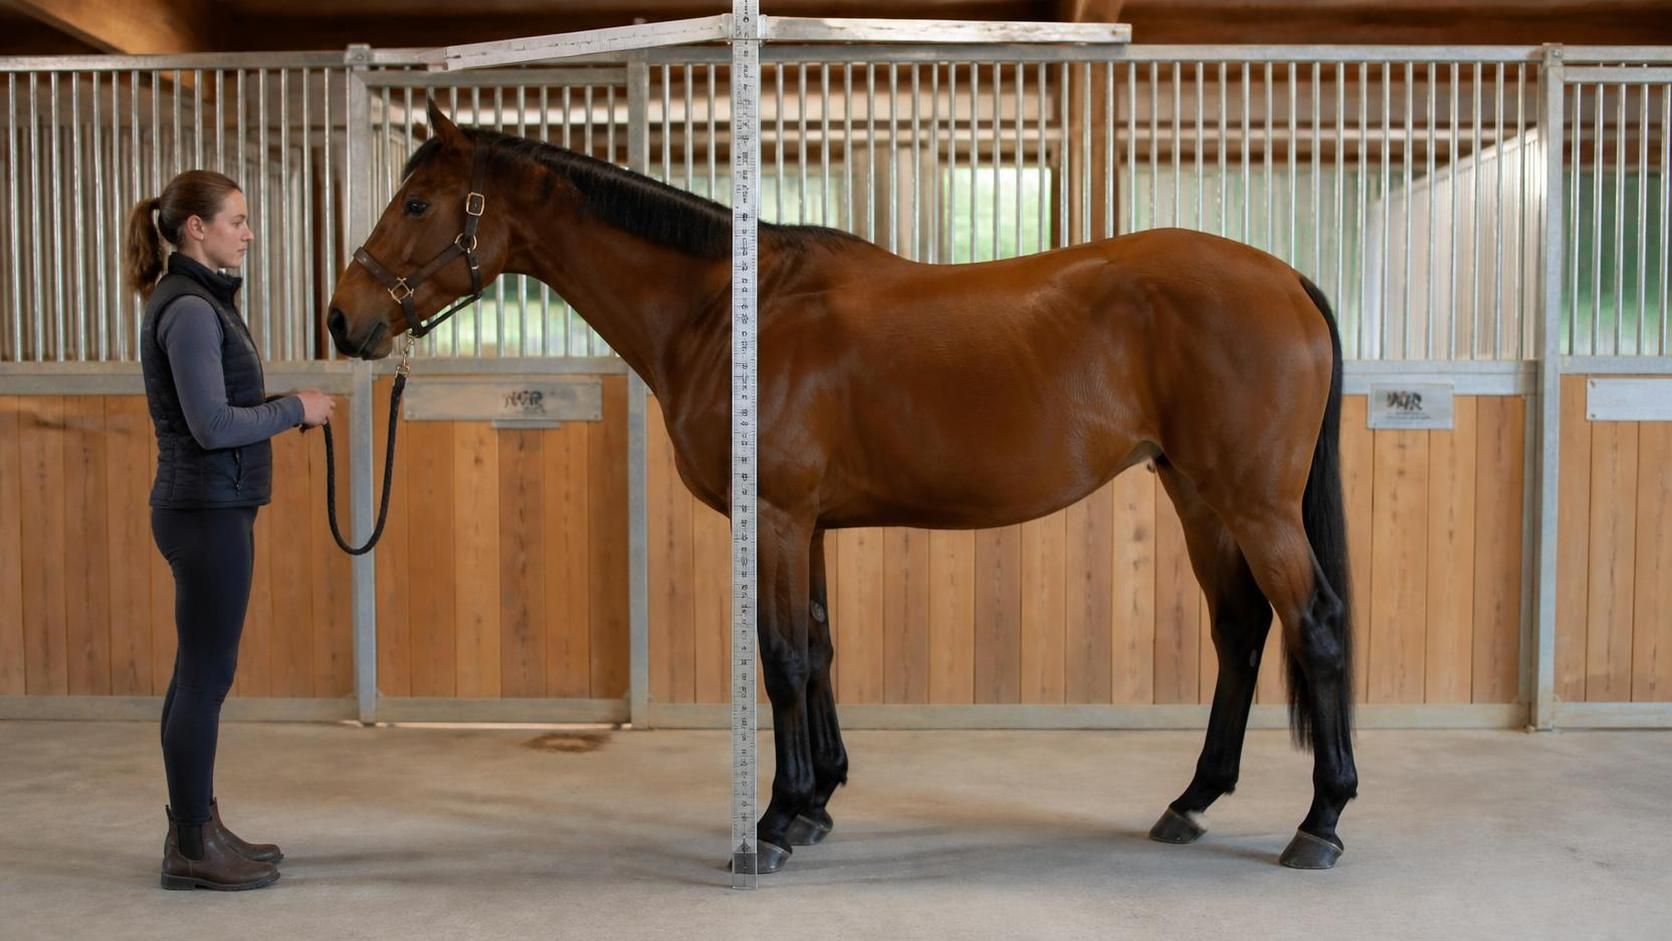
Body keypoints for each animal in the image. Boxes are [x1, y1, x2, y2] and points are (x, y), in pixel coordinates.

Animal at [326, 100, 1358, 874]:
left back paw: (1321, 819)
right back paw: (1192, 799)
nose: (344, 317)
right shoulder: (809, 523)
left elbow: (781, 657)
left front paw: (774, 821)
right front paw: (818, 799)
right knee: (1241, 631)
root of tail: (1288, 280)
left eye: (417, 203)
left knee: (1313, 625)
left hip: (1253, 504)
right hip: (1197, 495)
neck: (730, 312)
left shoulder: (777, 516)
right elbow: (819, 649)